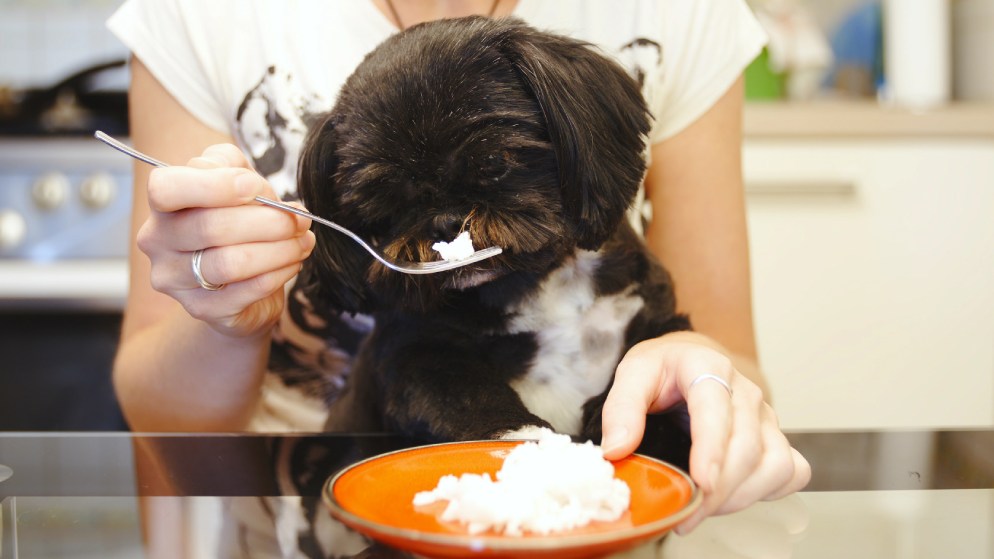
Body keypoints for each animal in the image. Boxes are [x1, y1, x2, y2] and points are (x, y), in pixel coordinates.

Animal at [294, 16, 692, 464]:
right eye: (386, 203)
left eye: (492, 160)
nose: (445, 223)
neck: (534, 284)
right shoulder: (413, 354)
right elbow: (469, 397)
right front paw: (527, 438)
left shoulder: (653, 316)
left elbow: (653, 386)